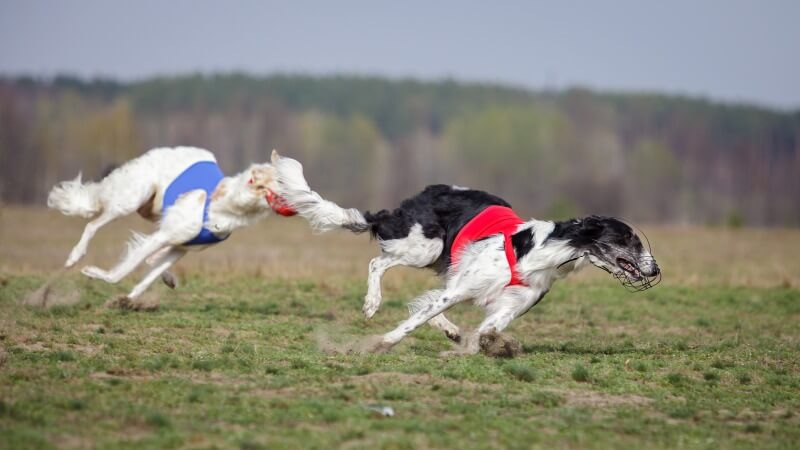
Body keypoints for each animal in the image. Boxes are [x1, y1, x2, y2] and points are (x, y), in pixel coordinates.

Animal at [45, 148, 294, 306]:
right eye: (282, 181)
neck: (225, 206)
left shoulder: (180, 248)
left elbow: (148, 277)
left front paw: (126, 299)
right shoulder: (164, 236)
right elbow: (126, 268)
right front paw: (96, 273)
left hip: (153, 211)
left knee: (150, 258)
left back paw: (167, 277)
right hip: (131, 200)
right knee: (92, 224)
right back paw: (74, 256)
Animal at [272, 155, 660, 356]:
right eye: (628, 239)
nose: (655, 269)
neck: (537, 253)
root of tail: (422, 193)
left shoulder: (508, 307)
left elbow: (486, 329)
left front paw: (480, 343)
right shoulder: (463, 287)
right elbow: (413, 320)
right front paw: (382, 342)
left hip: (443, 261)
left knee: (428, 299)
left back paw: (452, 331)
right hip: (424, 247)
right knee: (378, 263)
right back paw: (373, 303)